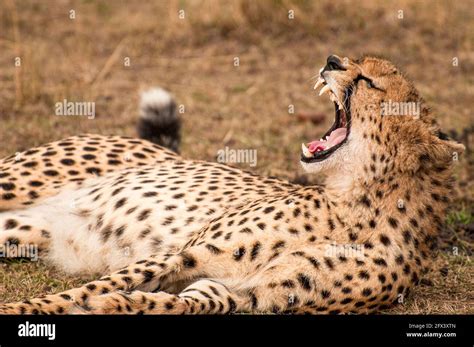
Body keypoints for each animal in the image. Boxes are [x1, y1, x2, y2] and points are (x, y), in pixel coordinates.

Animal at [0, 55, 464, 316]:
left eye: (369, 80)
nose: (332, 59)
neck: (358, 204)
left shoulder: (246, 295)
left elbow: (176, 303)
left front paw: (120, 305)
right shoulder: (186, 253)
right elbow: (93, 287)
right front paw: (24, 307)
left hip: (21, 232)